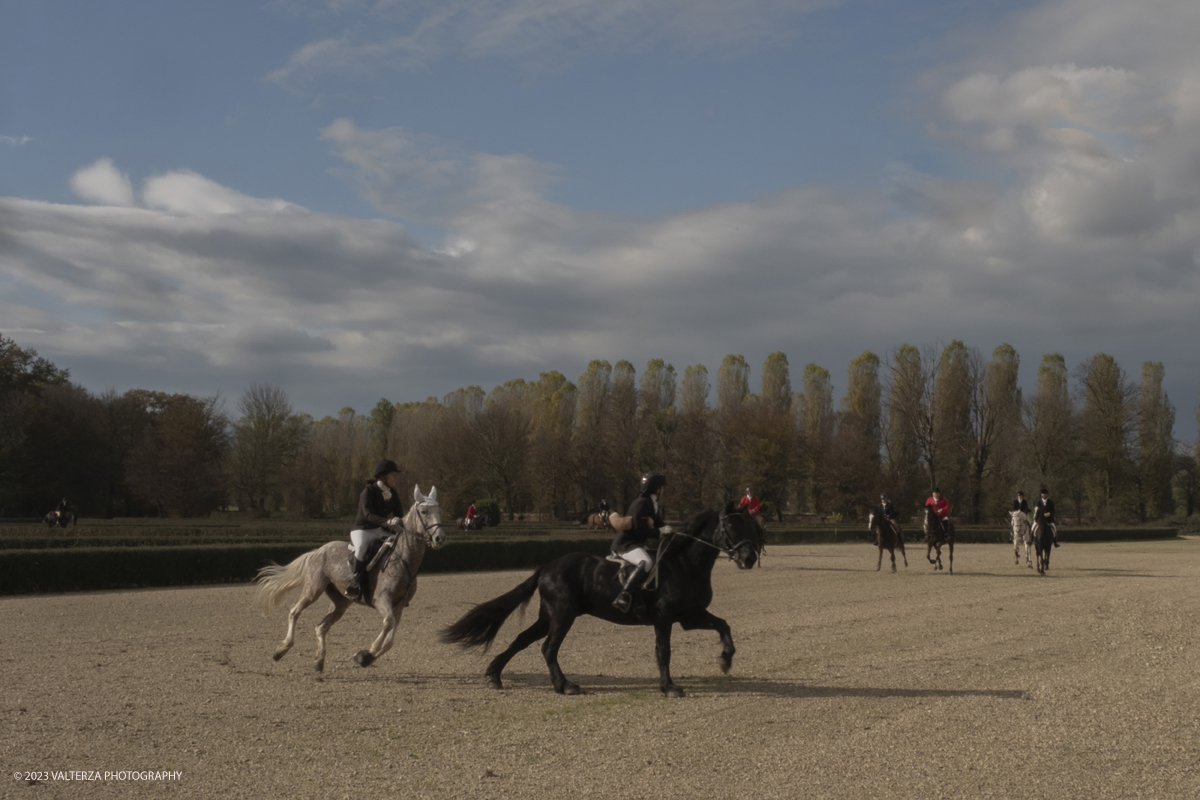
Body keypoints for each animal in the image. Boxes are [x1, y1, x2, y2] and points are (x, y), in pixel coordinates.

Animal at [255, 484, 448, 671]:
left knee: (321, 627)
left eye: (439, 510)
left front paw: (365, 657)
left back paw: (319, 661)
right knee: (294, 612)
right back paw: (281, 650)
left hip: (341, 602)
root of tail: (318, 551)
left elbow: (390, 640)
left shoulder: (399, 606)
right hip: (313, 589)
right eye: (424, 511)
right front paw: (368, 652)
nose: (440, 539)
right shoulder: (381, 599)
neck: (404, 559)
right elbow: (388, 623)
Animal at [441, 506, 758, 700]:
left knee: (522, 640)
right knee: (548, 648)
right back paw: (564, 686)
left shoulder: (690, 616)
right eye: (730, 527)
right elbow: (664, 651)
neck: (685, 563)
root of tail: (546, 567)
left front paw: (726, 660)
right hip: (563, 614)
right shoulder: (665, 618)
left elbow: (724, 626)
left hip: (549, 616)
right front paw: (669, 687)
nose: (750, 558)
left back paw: (495, 676)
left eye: (751, 527)